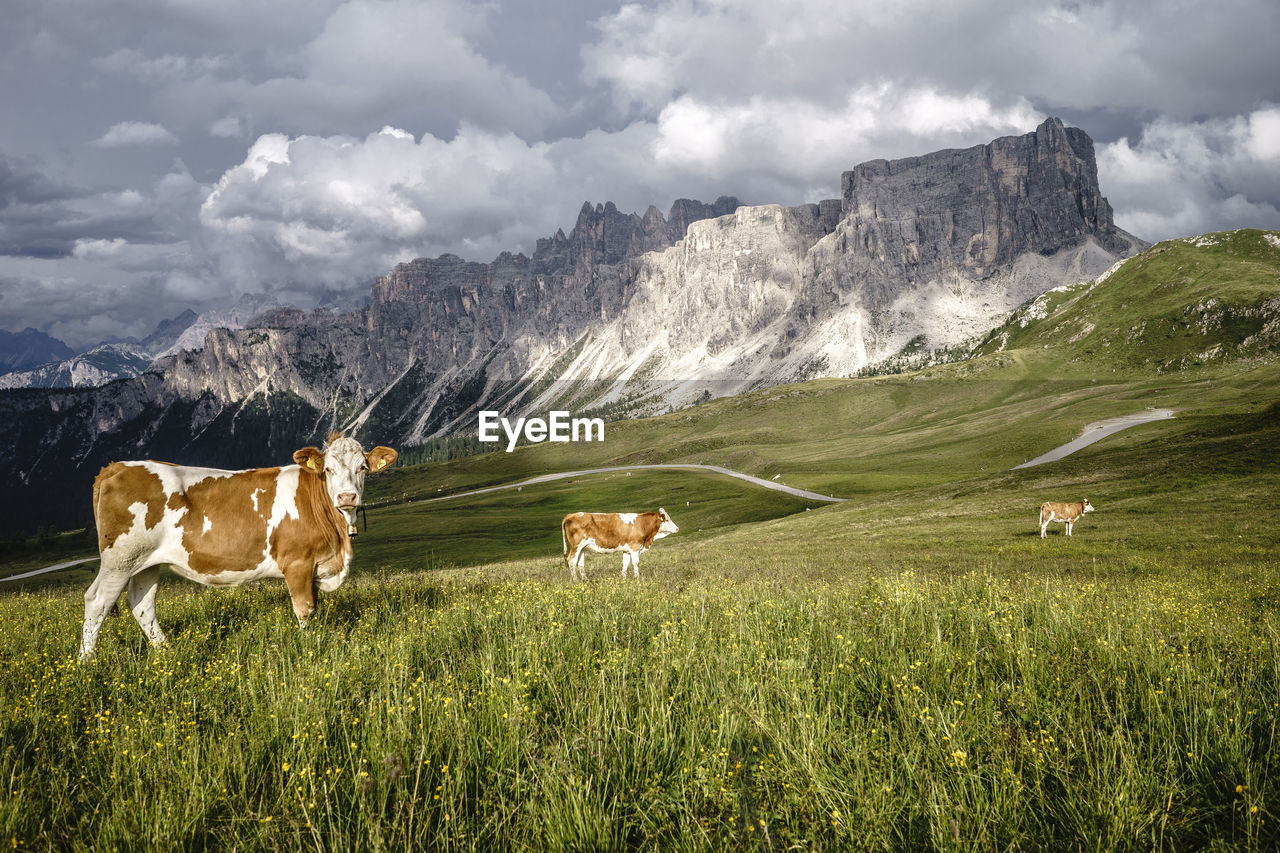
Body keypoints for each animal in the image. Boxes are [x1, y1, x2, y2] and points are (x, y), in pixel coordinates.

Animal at [78, 432, 394, 655]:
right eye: (328, 469)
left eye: (363, 467)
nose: (347, 497)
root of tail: (117, 466)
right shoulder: (298, 563)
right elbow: (305, 609)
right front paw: (308, 645)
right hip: (120, 559)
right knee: (97, 601)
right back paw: (86, 662)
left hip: (145, 562)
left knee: (141, 605)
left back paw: (167, 652)